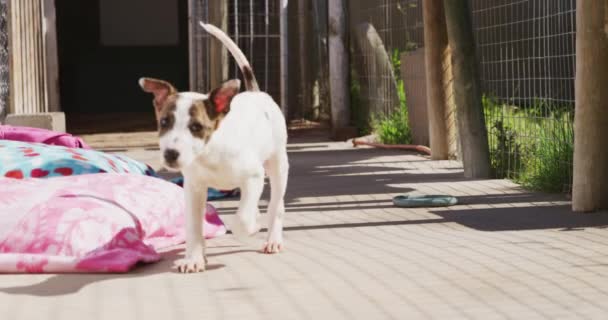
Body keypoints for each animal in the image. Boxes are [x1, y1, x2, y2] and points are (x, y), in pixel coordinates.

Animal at [139, 23, 288, 272]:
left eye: (196, 127)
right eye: (164, 122)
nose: (170, 155)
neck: (209, 154)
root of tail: (256, 93)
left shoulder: (254, 176)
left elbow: (241, 220)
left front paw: (251, 226)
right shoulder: (194, 188)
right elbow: (193, 226)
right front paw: (194, 258)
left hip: (278, 165)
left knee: (276, 204)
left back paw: (272, 239)